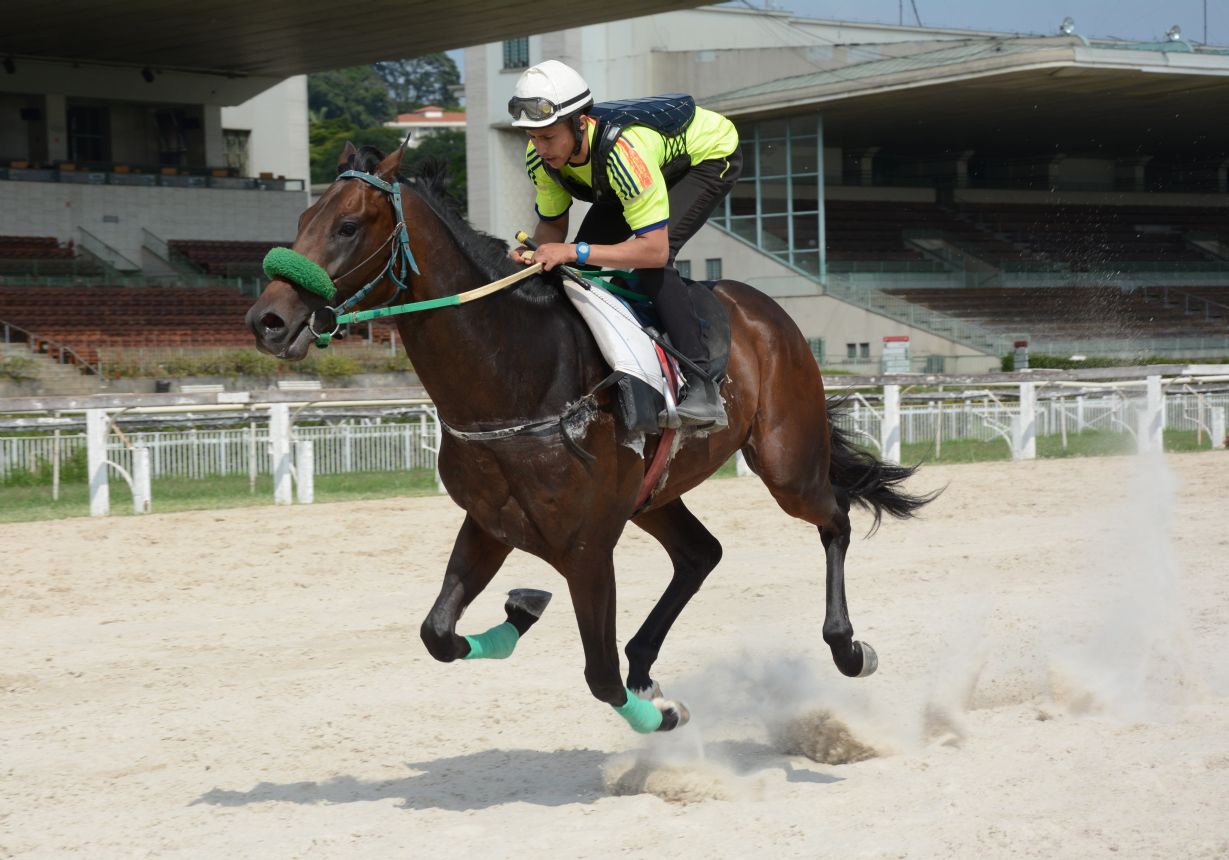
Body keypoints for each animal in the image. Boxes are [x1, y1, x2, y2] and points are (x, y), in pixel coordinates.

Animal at [245, 140, 934, 735]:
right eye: (303, 217)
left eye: (348, 226)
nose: (267, 320)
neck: (516, 375)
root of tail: (763, 309)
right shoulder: (493, 524)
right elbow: (437, 634)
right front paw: (522, 609)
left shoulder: (588, 547)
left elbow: (599, 676)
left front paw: (661, 716)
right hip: (652, 493)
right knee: (700, 554)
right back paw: (646, 664)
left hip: (786, 462)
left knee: (834, 517)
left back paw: (847, 647)